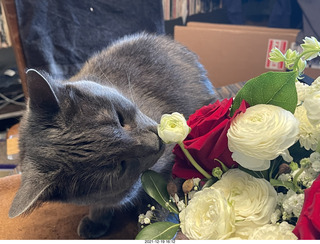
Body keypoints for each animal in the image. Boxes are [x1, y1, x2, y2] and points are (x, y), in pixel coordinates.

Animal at [8, 32, 216, 238]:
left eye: (119, 117)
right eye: (119, 166)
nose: (156, 142)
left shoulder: (171, 161)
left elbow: (164, 196)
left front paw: (154, 229)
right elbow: (102, 204)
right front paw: (95, 220)